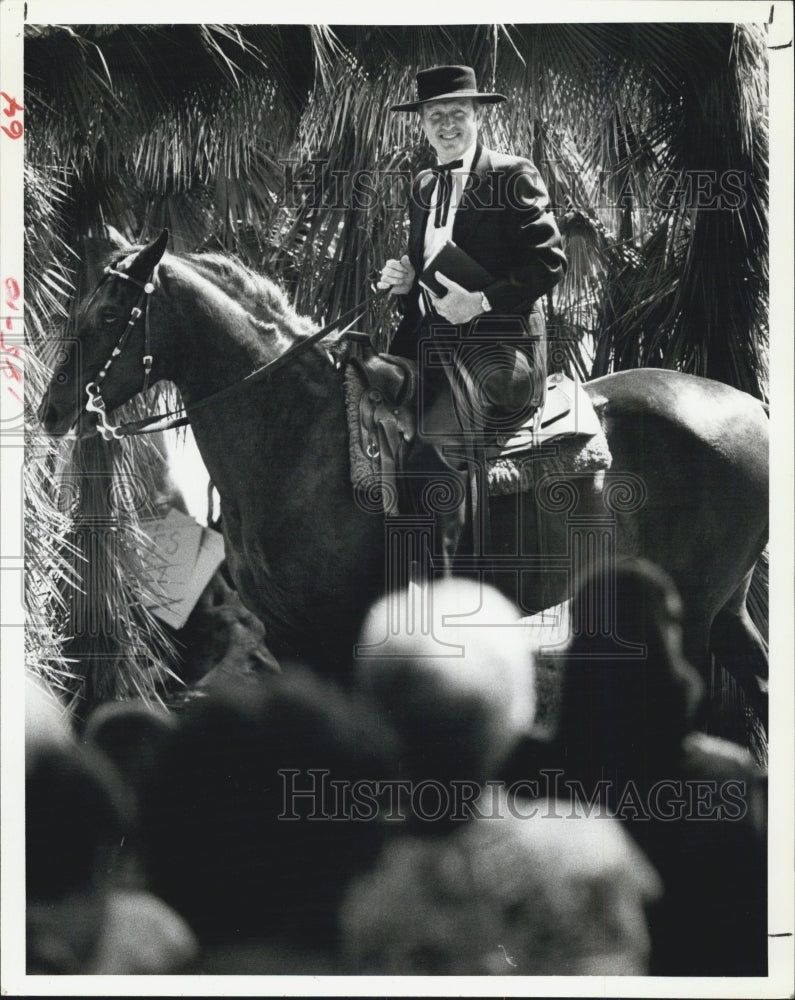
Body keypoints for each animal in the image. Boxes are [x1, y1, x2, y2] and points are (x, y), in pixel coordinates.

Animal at [40, 231, 768, 724]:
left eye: (110, 316)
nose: (52, 411)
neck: (298, 436)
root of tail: (751, 407)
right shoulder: (289, 637)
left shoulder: (334, 634)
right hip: (722, 607)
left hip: (692, 610)